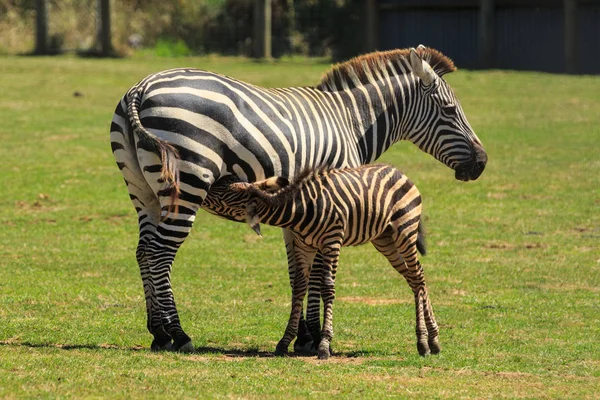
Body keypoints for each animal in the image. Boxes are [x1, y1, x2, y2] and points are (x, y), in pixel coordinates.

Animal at [227, 164, 438, 358]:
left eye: (226, 194)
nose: (222, 181)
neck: (302, 208)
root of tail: (398, 171)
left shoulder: (332, 241)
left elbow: (327, 287)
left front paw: (324, 344)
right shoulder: (304, 247)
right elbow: (299, 288)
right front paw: (284, 342)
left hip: (405, 230)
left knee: (417, 276)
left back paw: (424, 342)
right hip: (384, 239)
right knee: (415, 278)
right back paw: (432, 340)